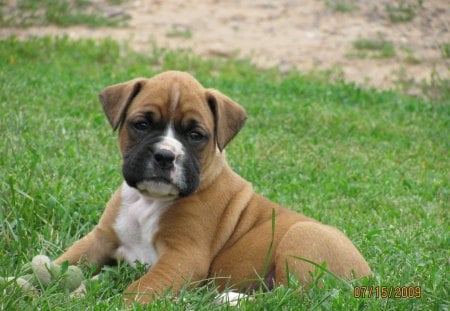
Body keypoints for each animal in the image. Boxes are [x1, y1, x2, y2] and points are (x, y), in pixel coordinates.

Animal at [54, 70, 370, 304]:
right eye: (141, 125)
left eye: (196, 135)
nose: (165, 155)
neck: (150, 201)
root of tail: (366, 276)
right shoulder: (101, 238)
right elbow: (66, 260)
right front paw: (47, 279)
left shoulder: (183, 257)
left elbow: (141, 289)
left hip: (303, 237)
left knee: (290, 298)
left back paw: (228, 299)